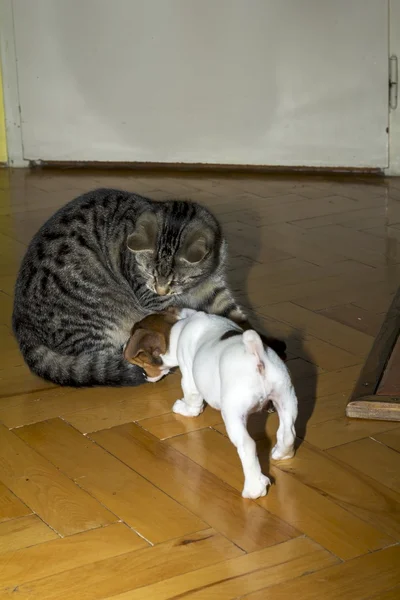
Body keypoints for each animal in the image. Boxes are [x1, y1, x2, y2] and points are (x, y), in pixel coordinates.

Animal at [13, 188, 284, 386]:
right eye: (148, 274)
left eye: (177, 280)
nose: (162, 290)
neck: (197, 282)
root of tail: (20, 323)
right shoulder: (152, 298)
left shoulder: (213, 288)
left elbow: (234, 314)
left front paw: (258, 339)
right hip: (95, 318)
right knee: (100, 357)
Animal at [161, 308, 298, 500]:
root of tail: (256, 355)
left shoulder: (187, 370)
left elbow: (192, 398)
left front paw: (183, 408)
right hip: (286, 397)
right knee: (288, 432)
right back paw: (282, 453)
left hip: (233, 414)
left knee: (248, 445)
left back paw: (254, 488)